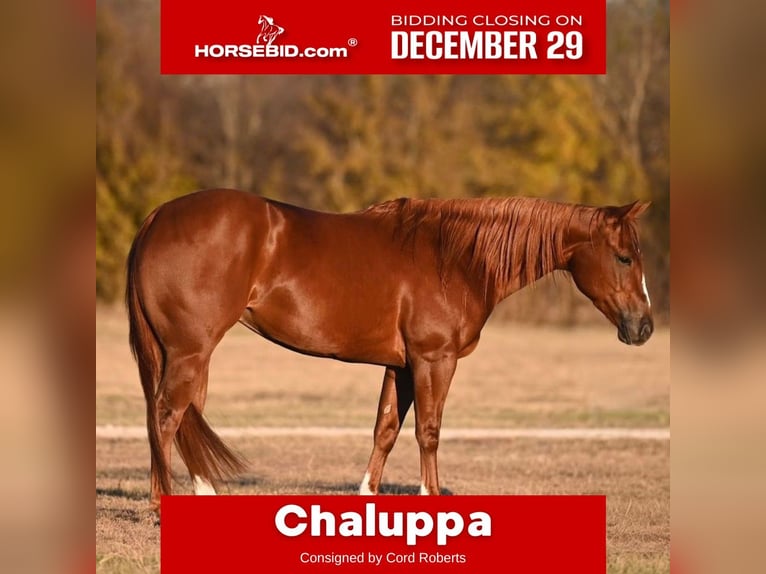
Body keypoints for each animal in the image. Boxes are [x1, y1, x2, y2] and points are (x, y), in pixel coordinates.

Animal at [125, 189, 653, 513]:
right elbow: (428, 432)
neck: (455, 257)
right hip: (190, 352)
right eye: (624, 257)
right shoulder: (433, 360)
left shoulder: (399, 366)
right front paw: (431, 499)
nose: (644, 327)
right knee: (167, 415)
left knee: (183, 416)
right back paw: (159, 504)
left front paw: (368, 496)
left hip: (192, 355)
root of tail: (157, 217)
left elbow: (385, 430)